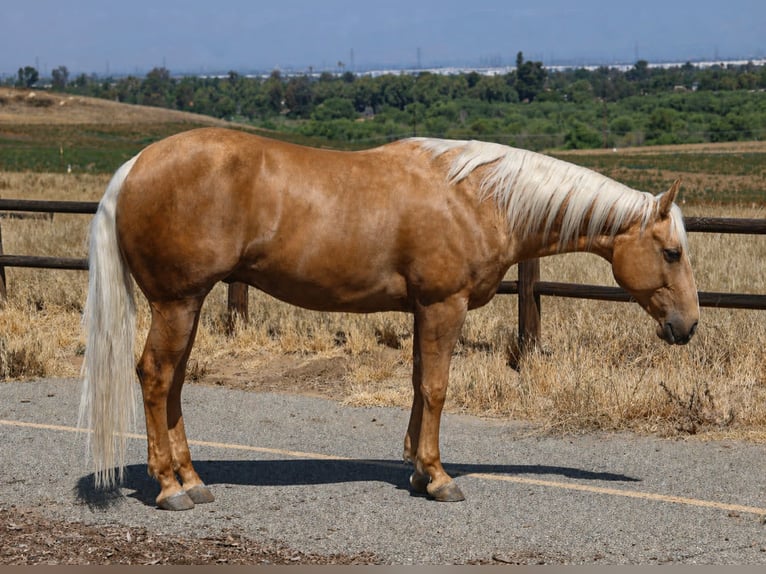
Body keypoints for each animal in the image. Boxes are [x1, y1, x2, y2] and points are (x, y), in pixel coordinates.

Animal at [79, 128, 699, 510]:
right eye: (672, 252)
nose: (688, 326)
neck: (479, 198)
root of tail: (135, 166)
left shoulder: (425, 310)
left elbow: (420, 385)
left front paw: (419, 471)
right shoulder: (444, 305)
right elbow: (439, 387)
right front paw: (440, 478)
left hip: (188, 303)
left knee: (175, 382)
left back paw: (193, 479)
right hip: (178, 302)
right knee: (156, 377)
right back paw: (170, 488)